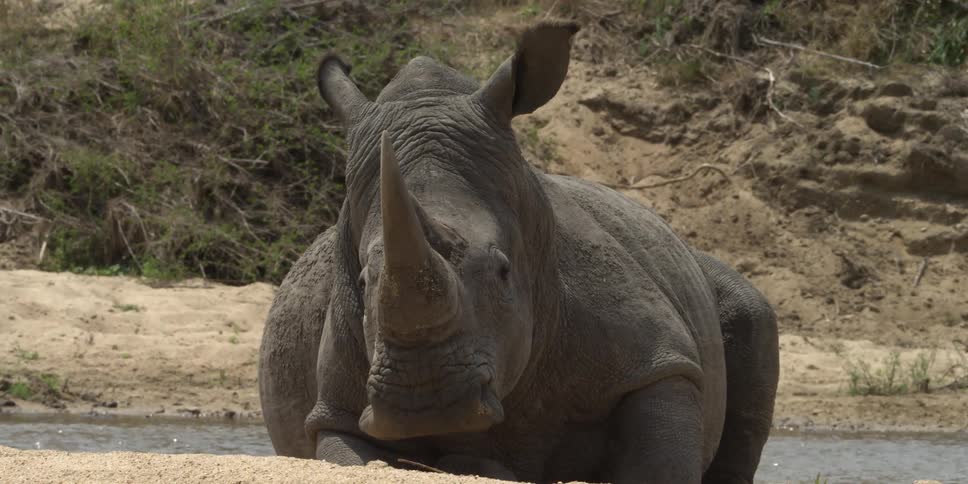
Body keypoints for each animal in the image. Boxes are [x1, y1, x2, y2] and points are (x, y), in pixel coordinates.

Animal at [258, 20, 779, 484]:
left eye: (504, 271)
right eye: (365, 282)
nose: (424, 402)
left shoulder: (657, 361)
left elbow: (661, 456)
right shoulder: (336, 410)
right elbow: (350, 453)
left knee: (749, 310)